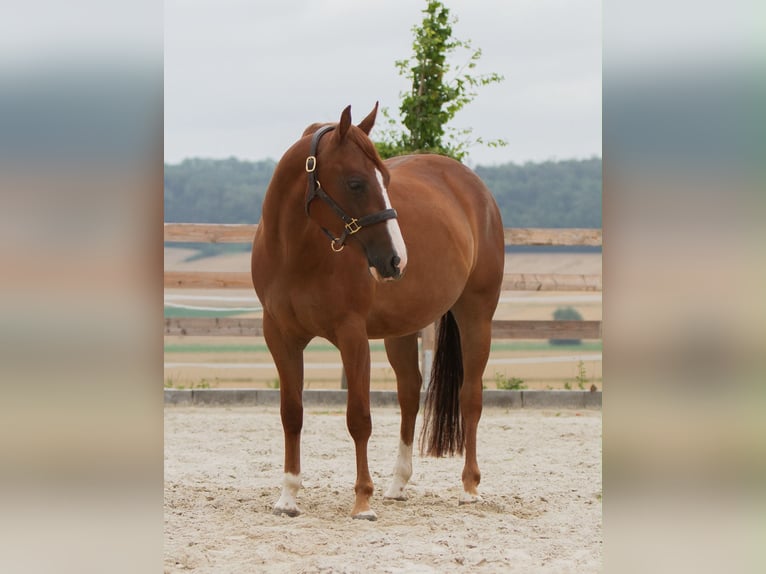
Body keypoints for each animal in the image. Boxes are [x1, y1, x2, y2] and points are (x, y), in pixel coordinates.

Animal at [251, 103, 504, 520]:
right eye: (356, 183)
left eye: (385, 178)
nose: (396, 259)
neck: (297, 253)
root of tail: (474, 187)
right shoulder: (279, 336)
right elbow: (292, 413)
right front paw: (288, 496)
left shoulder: (352, 335)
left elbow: (359, 417)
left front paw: (362, 500)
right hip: (400, 330)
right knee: (410, 393)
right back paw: (398, 484)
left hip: (476, 314)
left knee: (470, 396)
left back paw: (470, 487)